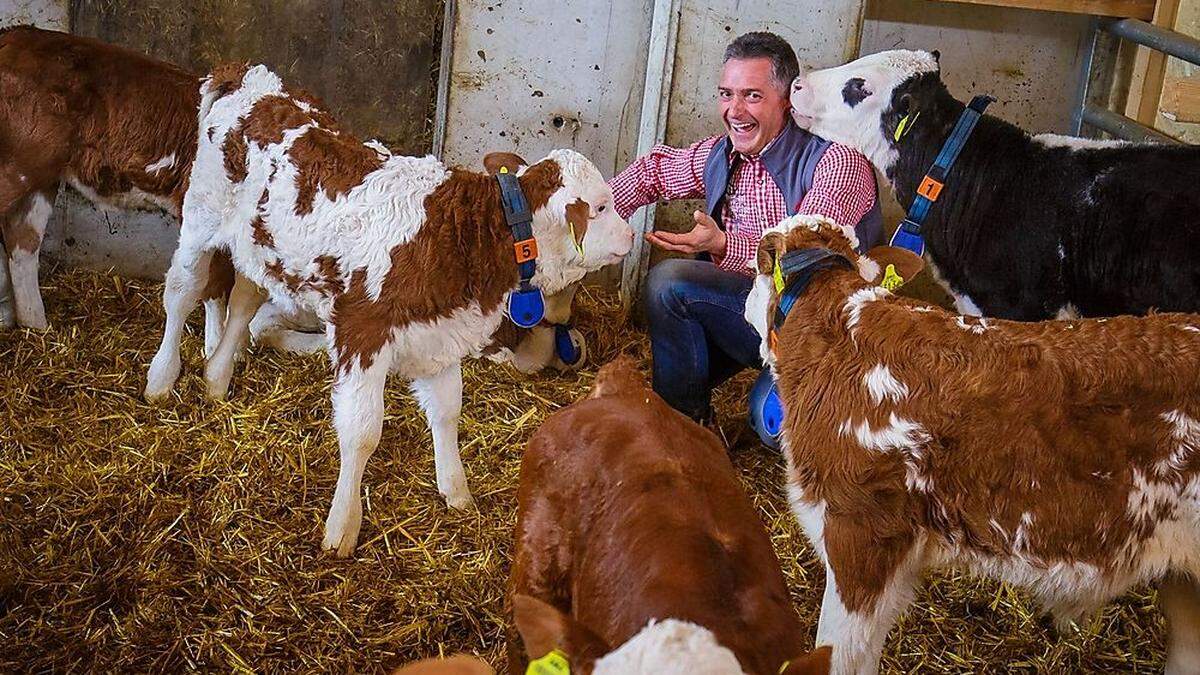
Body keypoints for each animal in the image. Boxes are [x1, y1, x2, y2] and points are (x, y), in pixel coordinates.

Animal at [0, 24, 231, 329]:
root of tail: (14, 34)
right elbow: (215, 287)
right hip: (17, 167)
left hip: (41, 175)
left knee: (23, 242)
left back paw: (38, 326)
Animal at [147, 63, 638, 554]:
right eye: (600, 206)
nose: (633, 237)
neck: (461, 232)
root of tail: (251, 78)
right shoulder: (362, 333)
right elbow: (362, 432)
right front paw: (342, 527)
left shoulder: (439, 334)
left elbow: (447, 412)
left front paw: (456, 492)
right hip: (201, 218)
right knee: (181, 293)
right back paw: (161, 379)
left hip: (261, 245)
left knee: (245, 300)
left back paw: (217, 376)